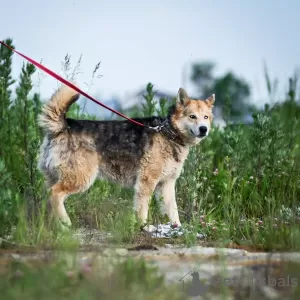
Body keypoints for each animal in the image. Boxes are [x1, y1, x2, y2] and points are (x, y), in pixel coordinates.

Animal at [37, 84, 216, 230]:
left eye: (206, 117)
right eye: (192, 116)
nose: (204, 129)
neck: (169, 133)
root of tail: (63, 126)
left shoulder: (166, 185)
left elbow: (173, 212)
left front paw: (178, 229)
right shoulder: (146, 183)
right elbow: (142, 210)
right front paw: (143, 227)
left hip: (57, 177)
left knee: (49, 198)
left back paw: (57, 226)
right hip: (80, 178)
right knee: (54, 194)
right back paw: (65, 222)